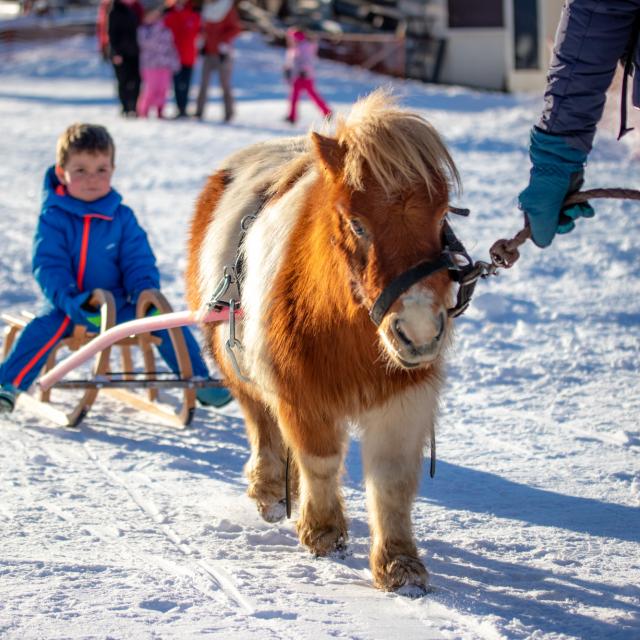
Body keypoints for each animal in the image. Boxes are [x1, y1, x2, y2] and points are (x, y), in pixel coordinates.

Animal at [185, 91, 460, 596]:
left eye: (441, 216)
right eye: (357, 223)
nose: (417, 332)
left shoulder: (404, 398)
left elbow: (391, 480)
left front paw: (400, 567)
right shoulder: (301, 391)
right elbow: (320, 458)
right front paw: (323, 533)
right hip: (232, 360)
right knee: (261, 421)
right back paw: (270, 491)